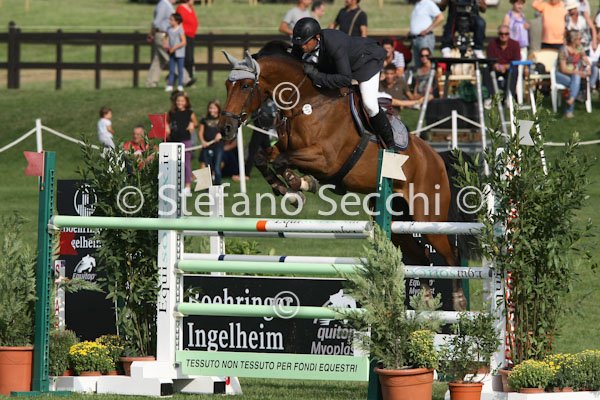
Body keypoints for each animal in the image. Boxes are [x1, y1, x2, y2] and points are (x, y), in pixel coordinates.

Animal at [219, 42, 474, 311]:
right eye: (227, 85)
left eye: (245, 86)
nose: (225, 128)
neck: (307, 105)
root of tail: (437, 157)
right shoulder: (285, 147)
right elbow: (263, 158)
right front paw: (289, 192)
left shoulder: (325, 160)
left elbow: (283, 161)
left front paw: (300, 184)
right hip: (396, 220)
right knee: (421, 257)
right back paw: (425, 302)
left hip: (428, 218)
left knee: (451, 255)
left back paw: (459, 303)